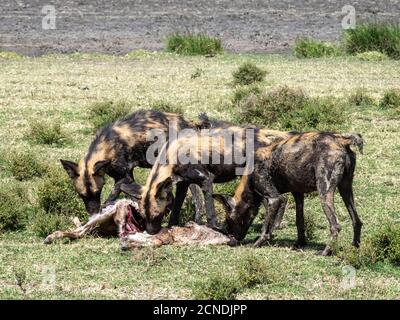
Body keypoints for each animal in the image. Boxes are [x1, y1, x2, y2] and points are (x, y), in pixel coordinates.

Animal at [61, 109, 205, 216]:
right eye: (82, 195)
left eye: (98, 192)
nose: (93, 212)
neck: (108, 144)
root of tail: (190, 123)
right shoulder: (128, 177)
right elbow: (134, 195)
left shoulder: (124, 178)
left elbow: (114, 193)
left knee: (198, 197)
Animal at [120, 125, 292, 235]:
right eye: (143, 216)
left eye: (157, 215)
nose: (151, 233)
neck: (174, 154)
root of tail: (262, 132)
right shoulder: (183, 183)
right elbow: (176, 208)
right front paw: (171, 227)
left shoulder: (206, 180)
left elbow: (209, 211)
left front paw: (213, 228)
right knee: (278, 199)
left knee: (277, 199)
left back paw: (272, 227)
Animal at [214, 131, 364, 256]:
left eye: (228, 220)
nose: (230, 242)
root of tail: (341, 140)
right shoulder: (298, 194)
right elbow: (299, 221)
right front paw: (299, 243)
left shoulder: (274, 199)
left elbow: (266, 227)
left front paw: (258, 243)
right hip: (345, 189)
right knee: (357, 221)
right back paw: (354, 247)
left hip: (324, 193)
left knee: (335, 226)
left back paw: (325, 252)